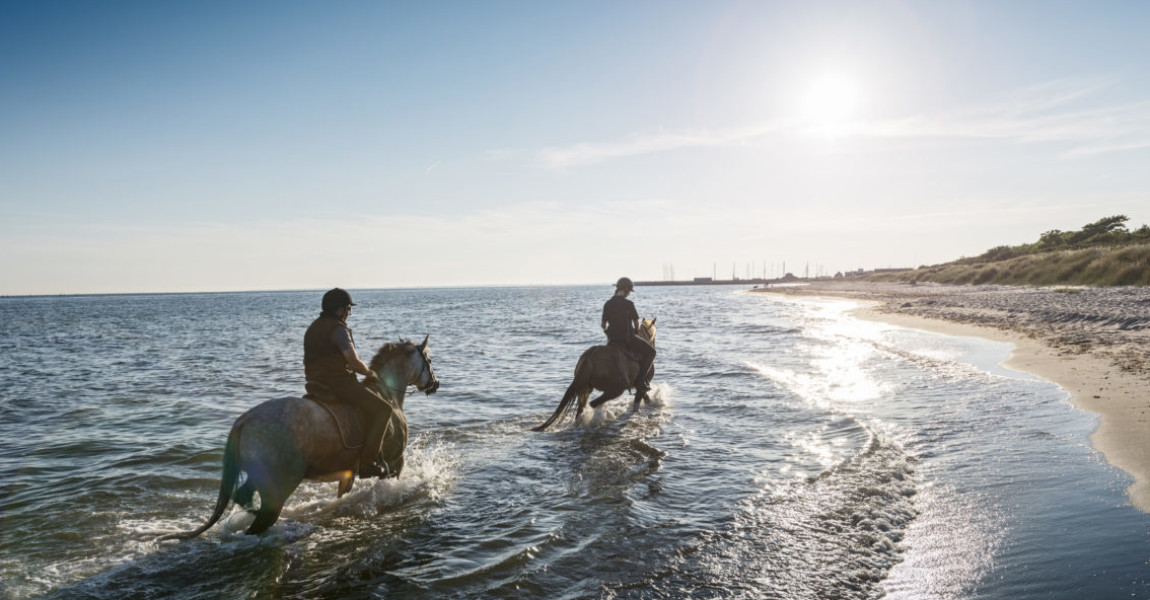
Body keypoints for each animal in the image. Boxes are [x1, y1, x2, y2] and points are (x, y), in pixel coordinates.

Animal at [157, 335, 434, 537]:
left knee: (245, 498)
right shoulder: (395, 463)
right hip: (279, 484)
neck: (387, 394)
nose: (435, 384)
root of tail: (244, 421)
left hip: (258, 477)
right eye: (429, 360)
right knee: (261, 522)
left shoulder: (348, 473)